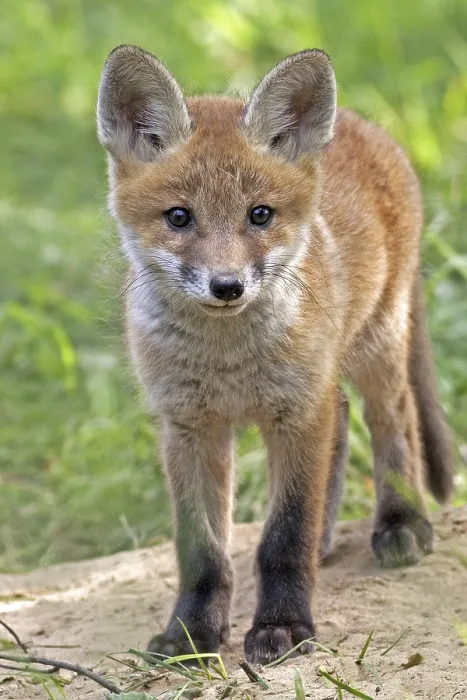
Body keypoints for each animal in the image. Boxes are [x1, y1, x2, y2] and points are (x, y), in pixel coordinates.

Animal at [96, 45, 454, 665]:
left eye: (259, 214)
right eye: (179, 217)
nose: (227, 286)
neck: (228, 363)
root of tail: (366, 125)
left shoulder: (297, 413)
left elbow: (284, 538)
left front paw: (283, 628)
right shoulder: (188, 427)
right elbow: (202, 552)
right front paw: (190, 634)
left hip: (377, 345)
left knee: (395, 420)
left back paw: (401, 521)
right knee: (343, 421)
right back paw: (328, 540)